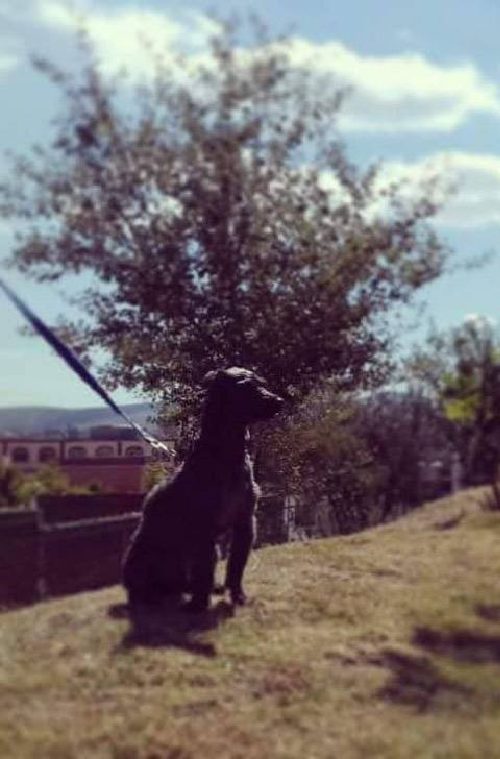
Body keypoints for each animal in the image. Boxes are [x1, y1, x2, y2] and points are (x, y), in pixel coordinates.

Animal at [121, 368, 284, 612]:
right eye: (245, 385)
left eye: (261, 382)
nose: (279, 401)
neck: (225, 454)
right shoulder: (204, 528)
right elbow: (204, 570)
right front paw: (199, 605)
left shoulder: (245, 522)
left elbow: (236, 566)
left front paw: (238, 596)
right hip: (141, 555)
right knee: (145, 586)